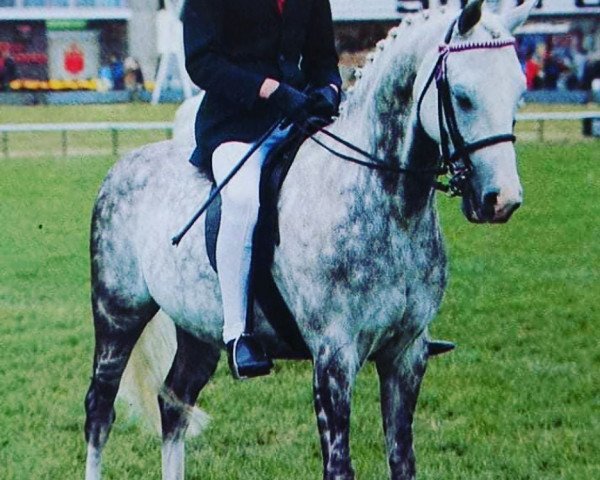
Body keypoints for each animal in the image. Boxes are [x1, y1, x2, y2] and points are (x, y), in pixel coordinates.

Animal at [83, 1, 536, 478]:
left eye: (519, 92)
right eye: (463, 96)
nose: (501, 200)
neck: (387, 203)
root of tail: (124, 165)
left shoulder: (407, 354)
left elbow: (402, 459)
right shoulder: (334, 356)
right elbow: (339, 465)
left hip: (198, 327)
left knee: (175, 402)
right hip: (118, 314)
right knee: (100, 408)